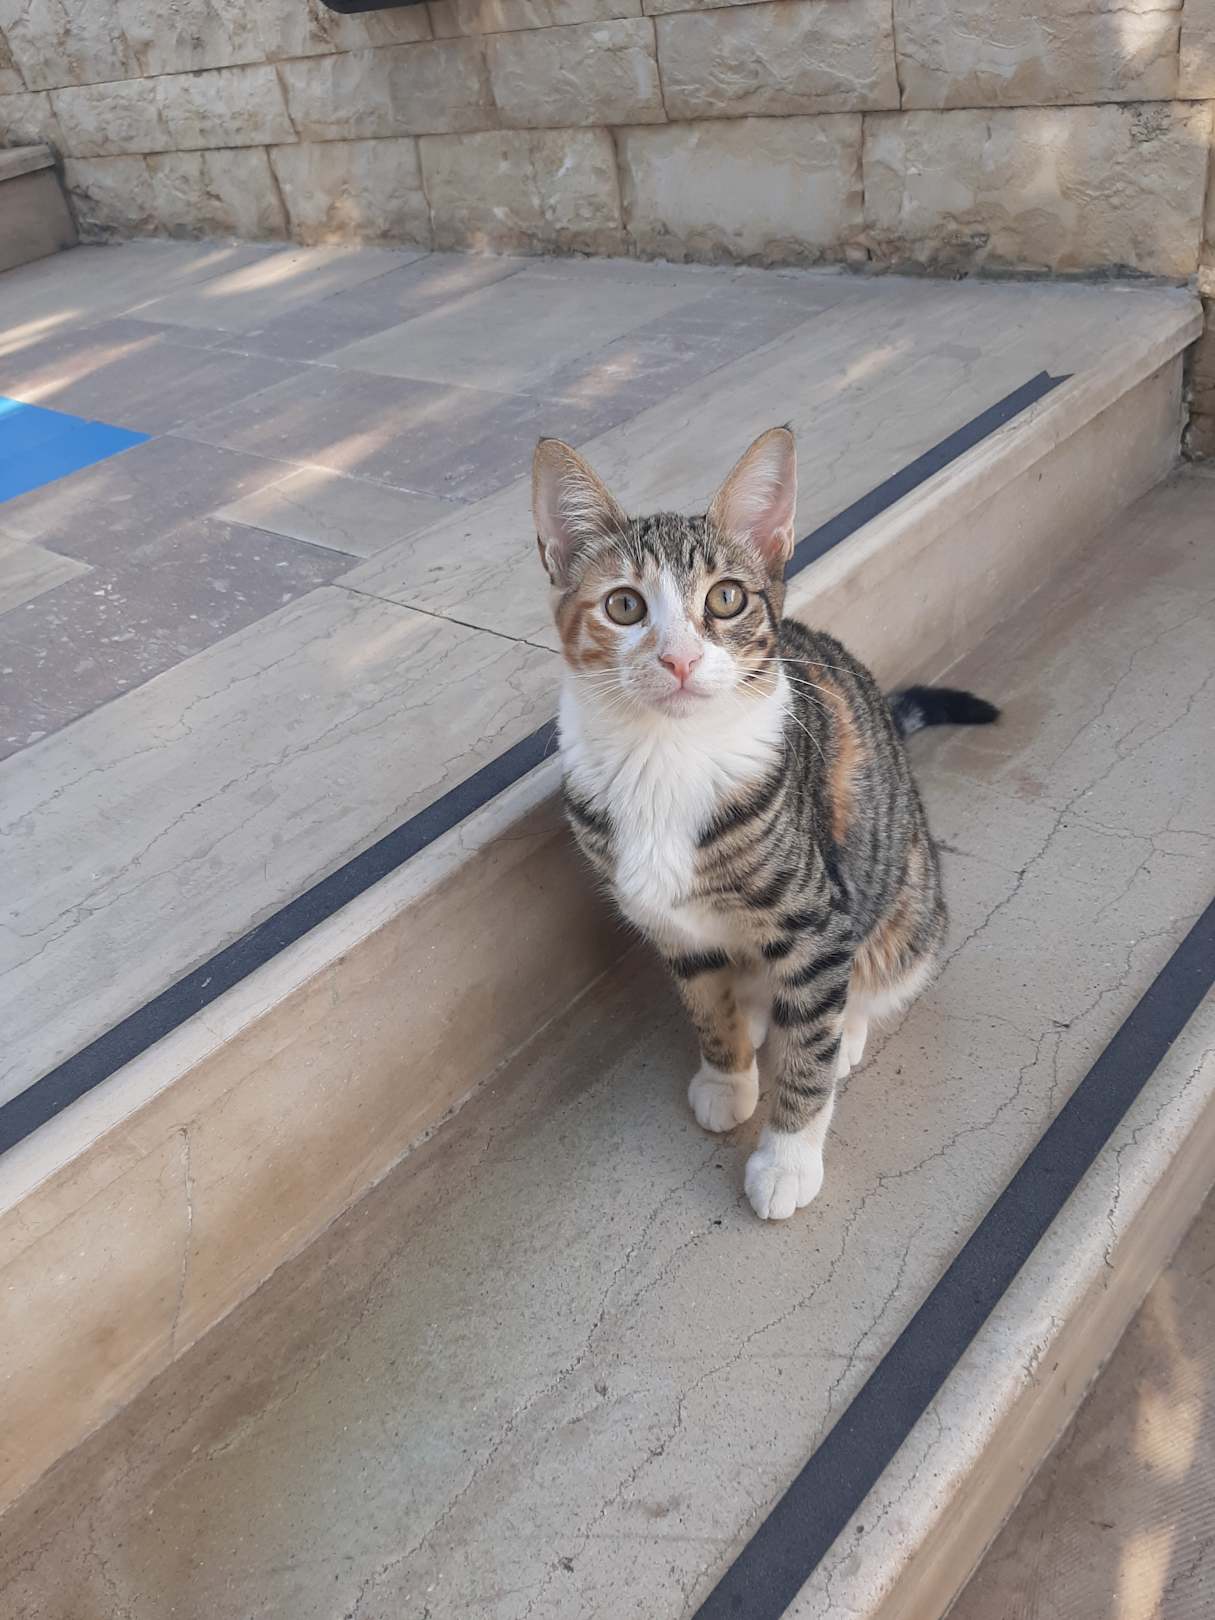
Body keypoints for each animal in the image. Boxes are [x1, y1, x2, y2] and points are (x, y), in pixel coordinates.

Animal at [533, 426, 997, 1221]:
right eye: (624, 606)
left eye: (726, 598)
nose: (680, 659)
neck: (666, 755)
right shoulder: (671, 925)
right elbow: (705, 1004)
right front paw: (728, 1076)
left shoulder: (817, 918)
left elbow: (808, 1051)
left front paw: (786, 1157)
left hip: (907, 902)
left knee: (867, 973)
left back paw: (845, 1029)